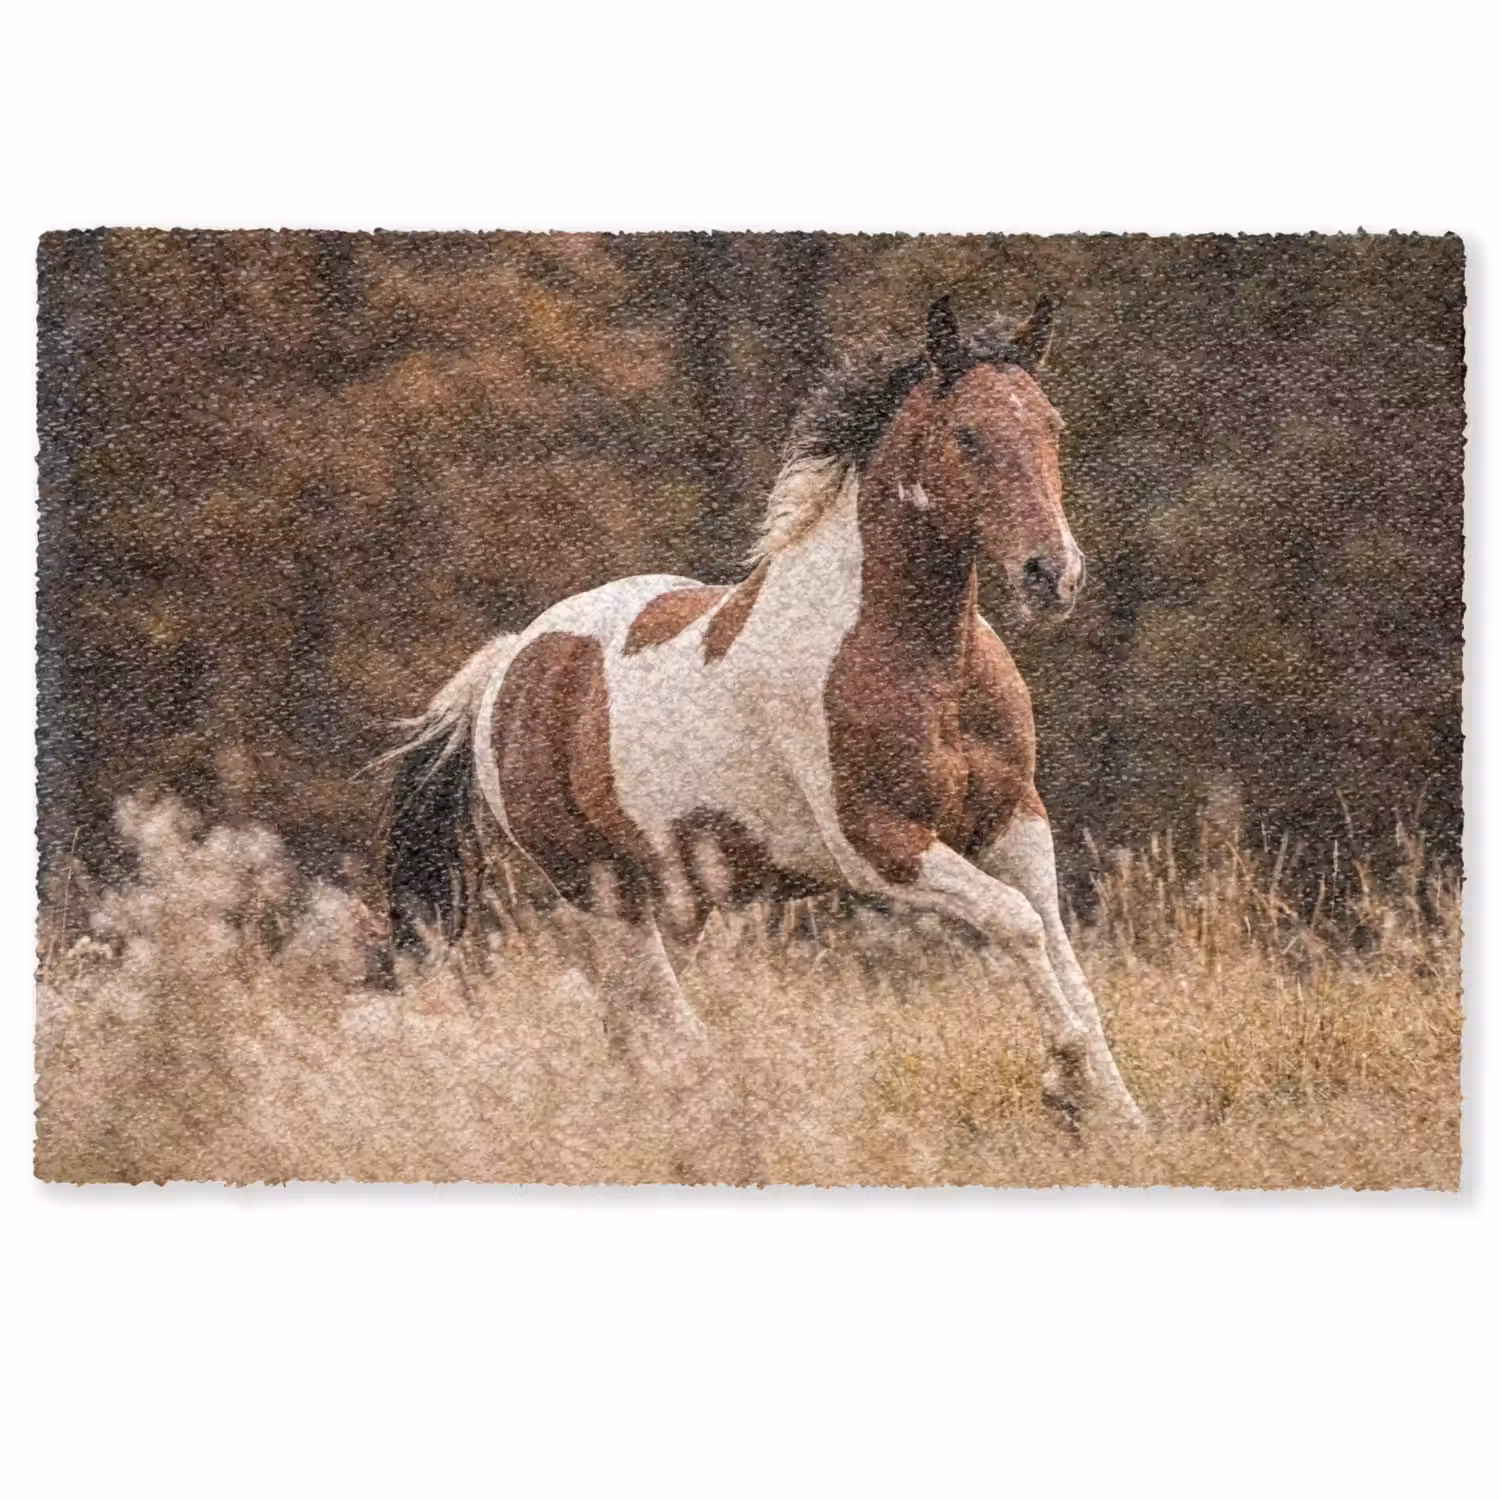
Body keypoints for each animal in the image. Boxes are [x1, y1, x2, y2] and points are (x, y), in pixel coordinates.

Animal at [380, 295, 1144, 1128]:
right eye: (966, 434)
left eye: (1051, 425)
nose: (1052, 575)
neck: (916, 659)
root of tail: (509, 663)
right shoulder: (878, 846)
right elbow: (1017, 923)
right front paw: (1064, 1081)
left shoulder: (1014, 821)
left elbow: (1062, 952)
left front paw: (1120, 1114)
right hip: (600, 890)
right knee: (658, 1019)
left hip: (675, 898)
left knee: (631, 1025)